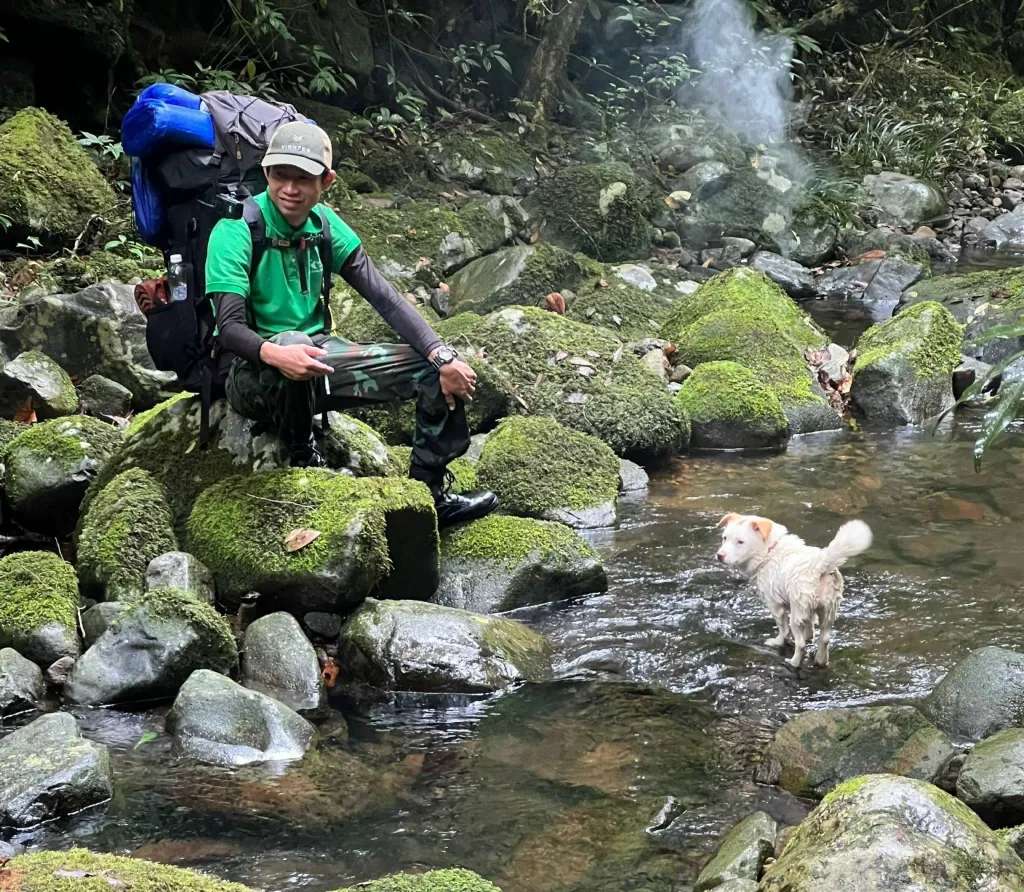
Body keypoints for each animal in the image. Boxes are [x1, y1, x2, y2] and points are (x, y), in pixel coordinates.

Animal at [712, 512, 872, 667]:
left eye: (740, 542)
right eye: (724, 538)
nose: (719, 556)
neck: (769, 551)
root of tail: (820, 565)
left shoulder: (775, 605)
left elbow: (783, 630)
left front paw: (777, 642)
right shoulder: (809, 611)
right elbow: (810, 628)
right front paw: (809, 636)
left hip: (796, 615)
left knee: (800, 645)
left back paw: (793, 663)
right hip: (828, 610)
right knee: (825, 639)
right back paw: (821, 661)